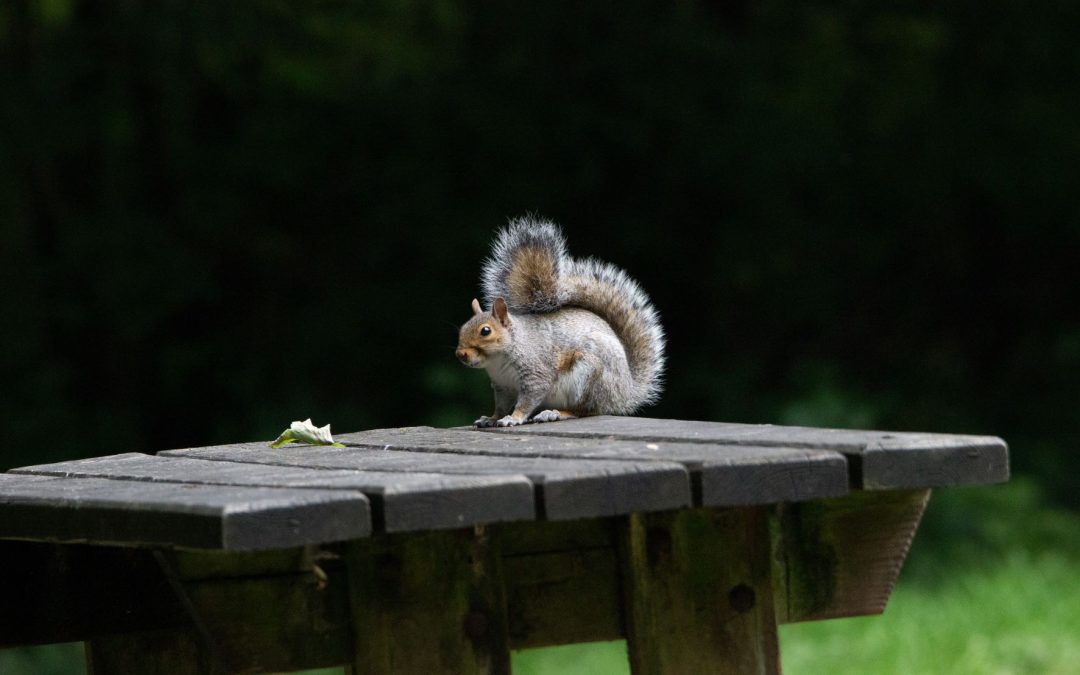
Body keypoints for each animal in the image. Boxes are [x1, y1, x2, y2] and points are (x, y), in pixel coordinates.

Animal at [455, 216, 665, 427]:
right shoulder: (502, 386)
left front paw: (513, 418)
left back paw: (555, 413)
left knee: (585, 410)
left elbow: (527, 401)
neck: (499, 360)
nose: (460, 354)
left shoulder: (536, 372)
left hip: (589, 375)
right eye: (462, 328)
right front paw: (491, 418)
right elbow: (500, 406)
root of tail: (625, 393)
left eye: (486, 331)